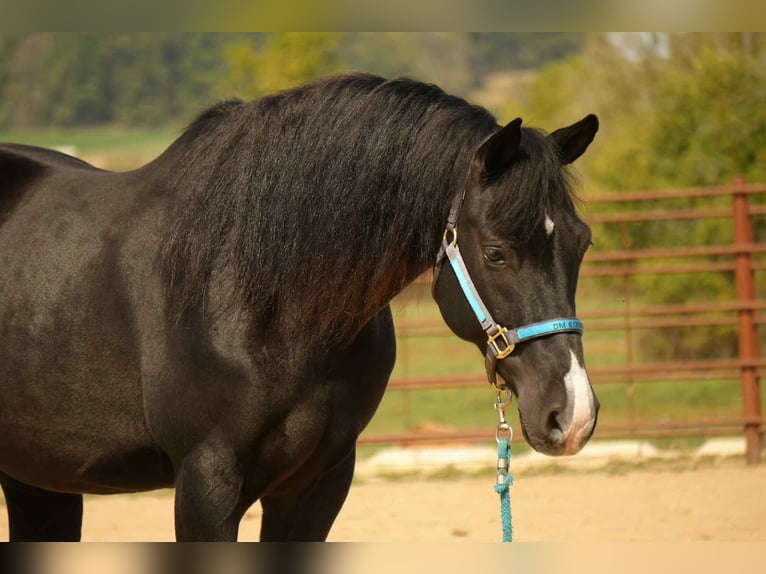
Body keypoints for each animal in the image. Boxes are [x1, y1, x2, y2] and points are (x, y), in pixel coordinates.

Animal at [0, 73, 599, 541]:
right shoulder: (205, 488)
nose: (573, 415)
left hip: (38, 477)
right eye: (496, 253)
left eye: (583, 242)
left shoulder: (318, 485)